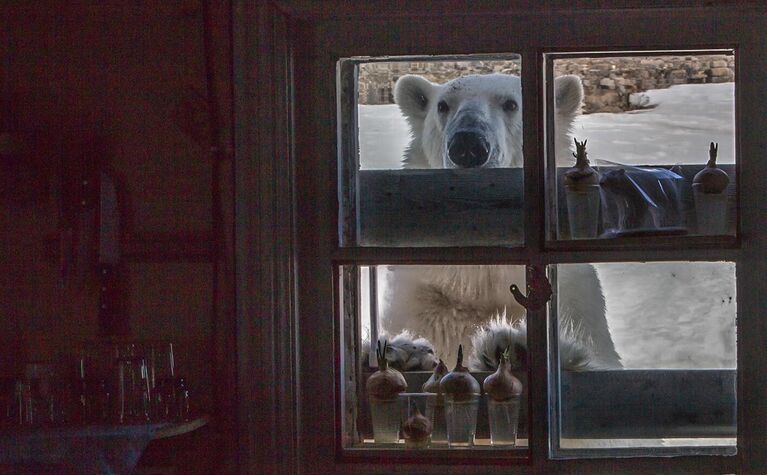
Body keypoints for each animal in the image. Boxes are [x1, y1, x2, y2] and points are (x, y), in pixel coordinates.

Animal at [378, 73, 624, 372]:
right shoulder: (422, 300)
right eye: (443, 106)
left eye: (511, 104)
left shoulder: (572, 296)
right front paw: (405, 352)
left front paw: (517, 347)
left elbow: (603, 358)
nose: (468, 146)